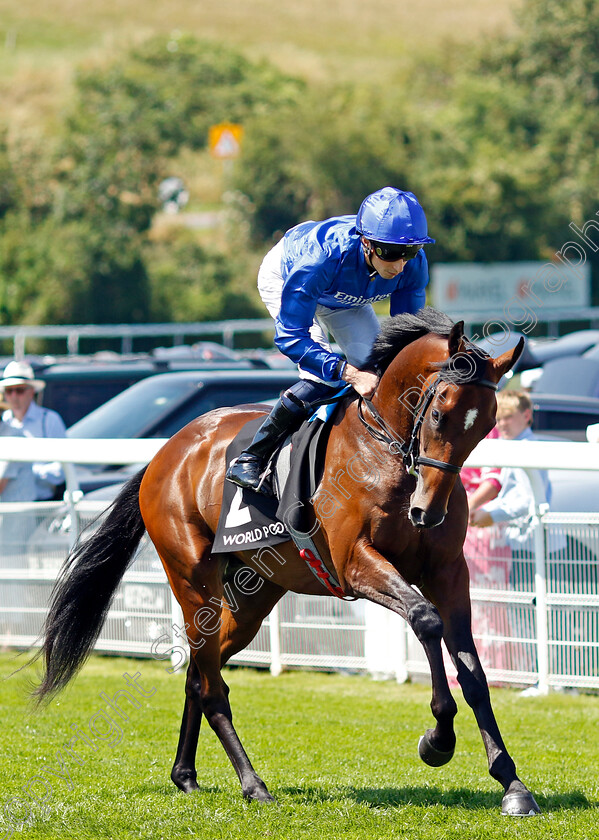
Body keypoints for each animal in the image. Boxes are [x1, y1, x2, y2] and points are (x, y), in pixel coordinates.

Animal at [32, 306, 540, 812]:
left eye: (486, 424)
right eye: (437, 412)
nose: (427, 512)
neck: (384, 449)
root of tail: (165, 453)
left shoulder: (448, 571)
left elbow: (473, 673)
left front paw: (512, 782)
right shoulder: (355, 564)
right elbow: (426, 619)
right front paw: (438, 739)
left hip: (250, 599)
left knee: (200, 672)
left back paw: (186, 774)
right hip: (193, 580)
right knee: (212, 686)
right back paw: (252, 784)